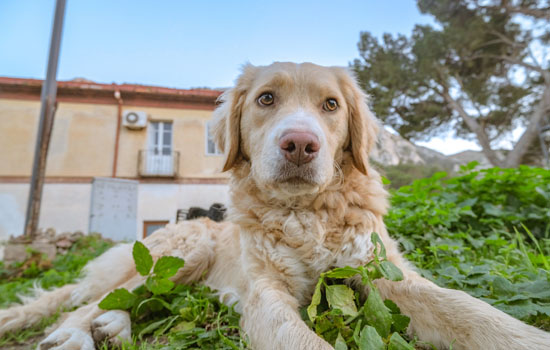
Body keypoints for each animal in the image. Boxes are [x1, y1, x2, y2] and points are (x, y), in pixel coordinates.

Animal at [1, 63, 550, 350]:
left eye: (331, 105)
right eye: (266, 99)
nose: (300, 145)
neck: (306, 213)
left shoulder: (383, 274)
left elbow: (473, 312)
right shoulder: (267, 295)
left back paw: (113, 326)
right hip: (184, 250)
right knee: (92, 300)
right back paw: (75, 335)